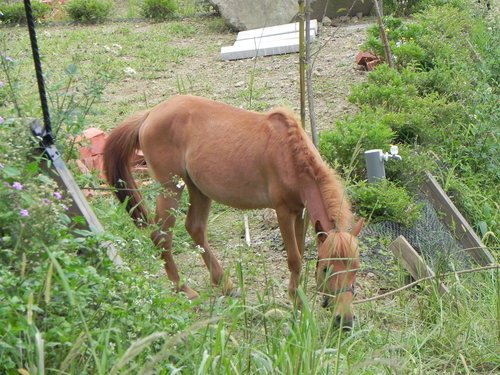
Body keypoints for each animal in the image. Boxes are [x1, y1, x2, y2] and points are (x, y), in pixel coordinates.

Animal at [104, 95, 364, 328]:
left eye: (356, 268)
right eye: (326, 268)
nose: (345, 321)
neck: (290, 156)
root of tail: (149, 115)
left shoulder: (299, 211)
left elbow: (300, 252)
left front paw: (297, 297)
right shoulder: (282, 212)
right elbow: (295, 259)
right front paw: (296, 302)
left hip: (198, 189)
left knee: (195, 229)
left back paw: (225, 285)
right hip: (170, 189)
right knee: (161, 236)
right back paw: (183, 289)